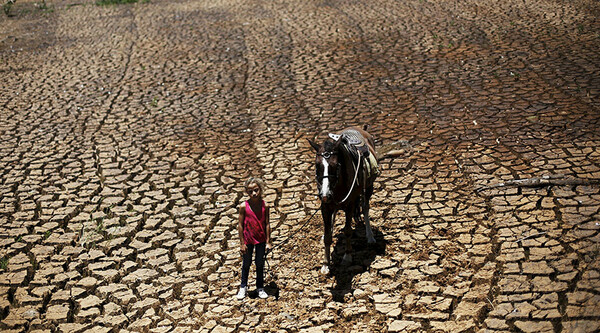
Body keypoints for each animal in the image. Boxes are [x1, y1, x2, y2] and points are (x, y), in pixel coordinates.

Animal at [310, 126, 380, 274]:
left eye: (336, 165)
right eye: (317, 165)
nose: (325, 194)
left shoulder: (350, 205)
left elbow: (348, 231)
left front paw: (347, 257)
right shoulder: (325, 207)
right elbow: (328, 236)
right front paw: (325, 264)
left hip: (368, 188)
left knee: (365, 208)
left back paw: (370, 236)